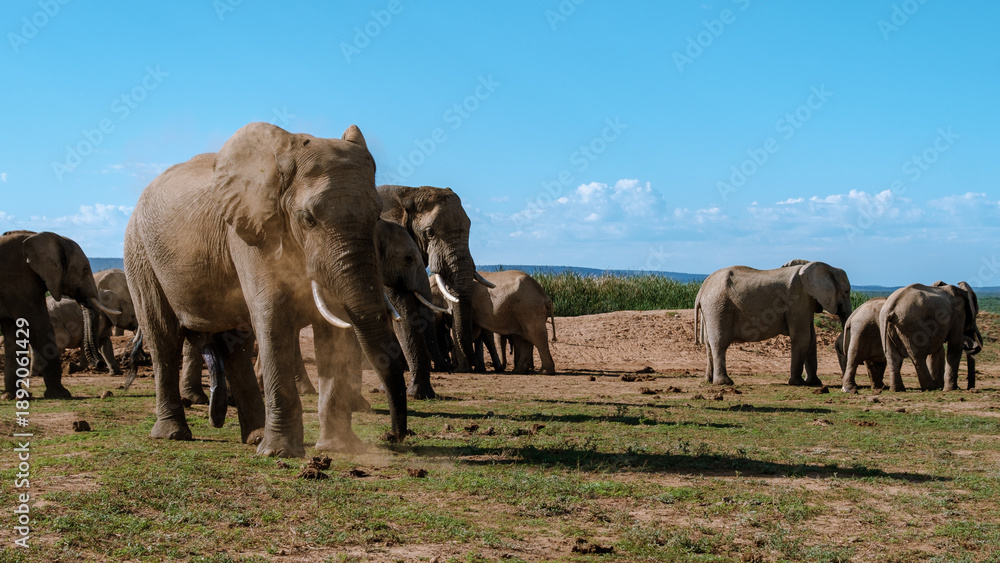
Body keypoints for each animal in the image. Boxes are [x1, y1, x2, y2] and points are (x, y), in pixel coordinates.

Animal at [0, 230, 118, 398]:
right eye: (85, 270)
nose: (100, 363)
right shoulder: (20, 282)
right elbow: (38, 325)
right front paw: (61, 394)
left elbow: (14, 334)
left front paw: (13, 396)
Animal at [124, 122, 409, 457]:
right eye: (308, 220)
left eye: (376, 215)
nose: (395, 436)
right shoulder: (249, 234)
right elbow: (272, 316)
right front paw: (280, 454)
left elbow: (334, 329)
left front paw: (337, 448)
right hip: (139, 251)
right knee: (163, 337)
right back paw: (174, 434)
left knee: (236, 346)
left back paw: (255, 436)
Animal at [694, 261, 852, 386]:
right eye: (847, 291)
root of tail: (701, 291)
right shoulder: (798, 299)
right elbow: (802, 337)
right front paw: (798, 383)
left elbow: (811, 338)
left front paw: (815, 383)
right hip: (718, 307)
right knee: (719, 343)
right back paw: (725, 383)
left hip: (711, 309)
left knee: (708, 344)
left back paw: (708, 380)